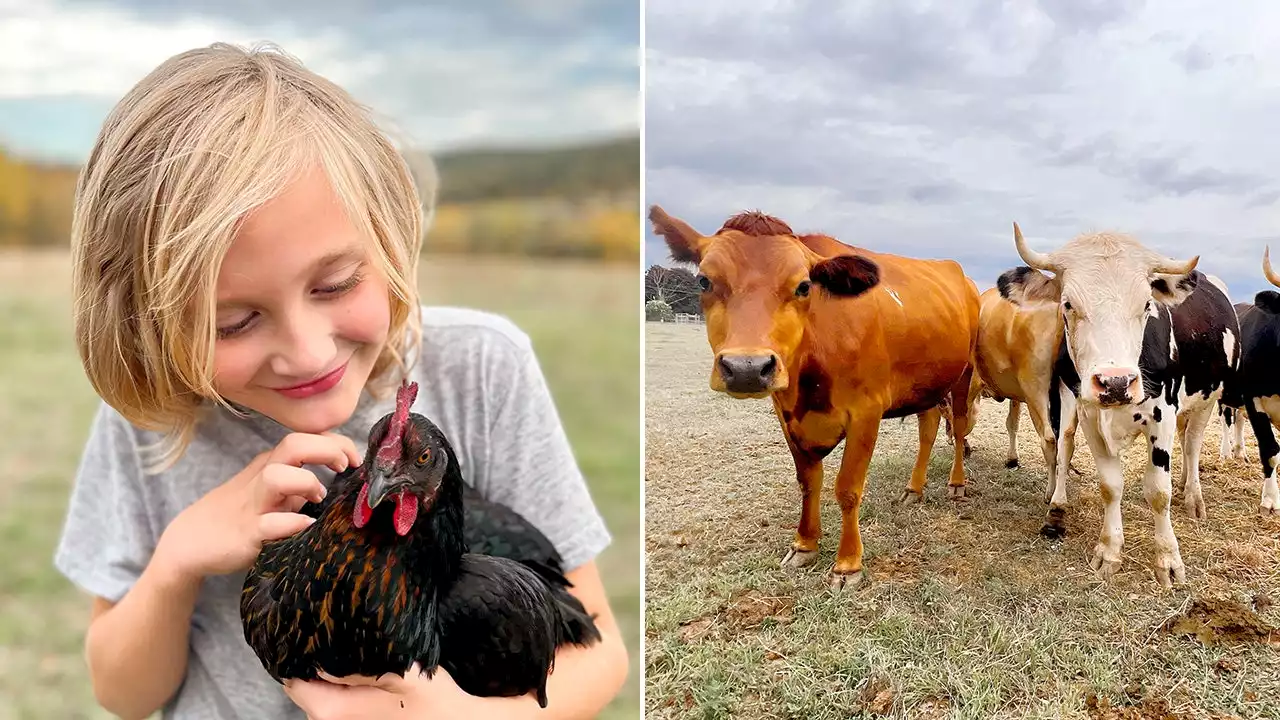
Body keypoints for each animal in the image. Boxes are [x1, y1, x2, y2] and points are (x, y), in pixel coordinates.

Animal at [650, 203, 977, 589]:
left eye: (804, 286)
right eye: (704, 281)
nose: (747, 367)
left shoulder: (866, 412)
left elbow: (847, 488)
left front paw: (847, 564)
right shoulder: (787, 414)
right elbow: (808, 482)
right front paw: (805, 545)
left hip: (965, 375)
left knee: (958, 427)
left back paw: (957, 482)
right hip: (925, 384)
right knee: (928, 429)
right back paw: (915, 489)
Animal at [998, 221, 1239, 586]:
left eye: (1146, 305)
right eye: (1067, 304)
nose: (1116, 382)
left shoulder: (1164, 415)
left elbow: (1159, 491)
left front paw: (1168, 559)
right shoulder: (1088, 413)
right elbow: (1110, 486)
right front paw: (1109, 551)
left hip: (1206, 401)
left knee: (1192, 444)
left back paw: (1193, 496)